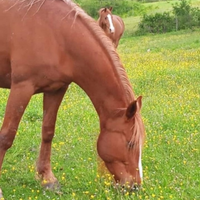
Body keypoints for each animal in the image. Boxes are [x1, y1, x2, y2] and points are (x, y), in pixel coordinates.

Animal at [0, 0, 144, 198]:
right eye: (130, 144)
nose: (135, 186)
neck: (55, 34)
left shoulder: (56, 89)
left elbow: (48, 132)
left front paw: (47, 179)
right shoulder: (22, 87)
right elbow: (6, 136)